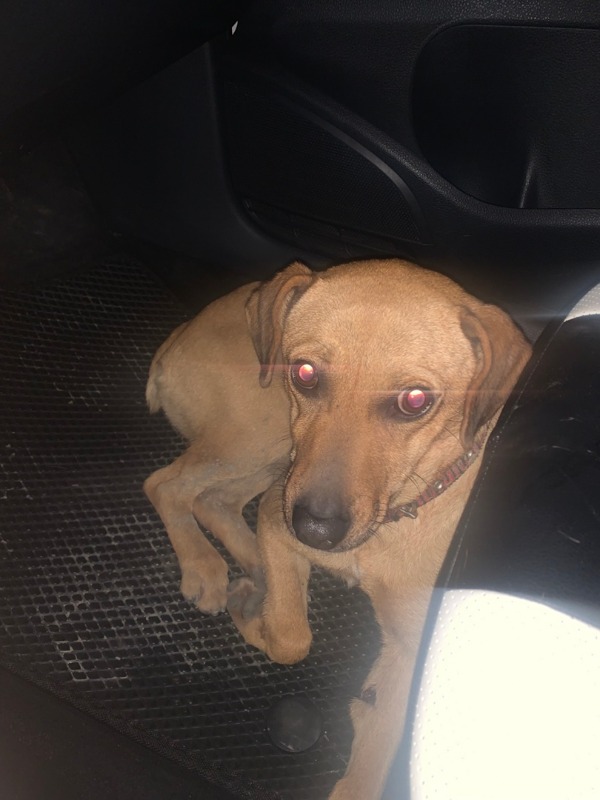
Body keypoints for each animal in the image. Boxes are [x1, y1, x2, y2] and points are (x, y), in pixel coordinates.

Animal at [144, 258, 531, 799]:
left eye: (415, 401)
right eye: (305, 373)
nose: (315, 530)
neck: (400, 514)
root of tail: (176, 339)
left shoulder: (407, 653)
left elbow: (372, 763)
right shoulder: (280, 513)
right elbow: (292, 639)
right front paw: (263, 616)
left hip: (268, 456)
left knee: (214, 501)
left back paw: (251, 566)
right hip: (262, 430)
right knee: (168, 485)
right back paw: (206, 566)